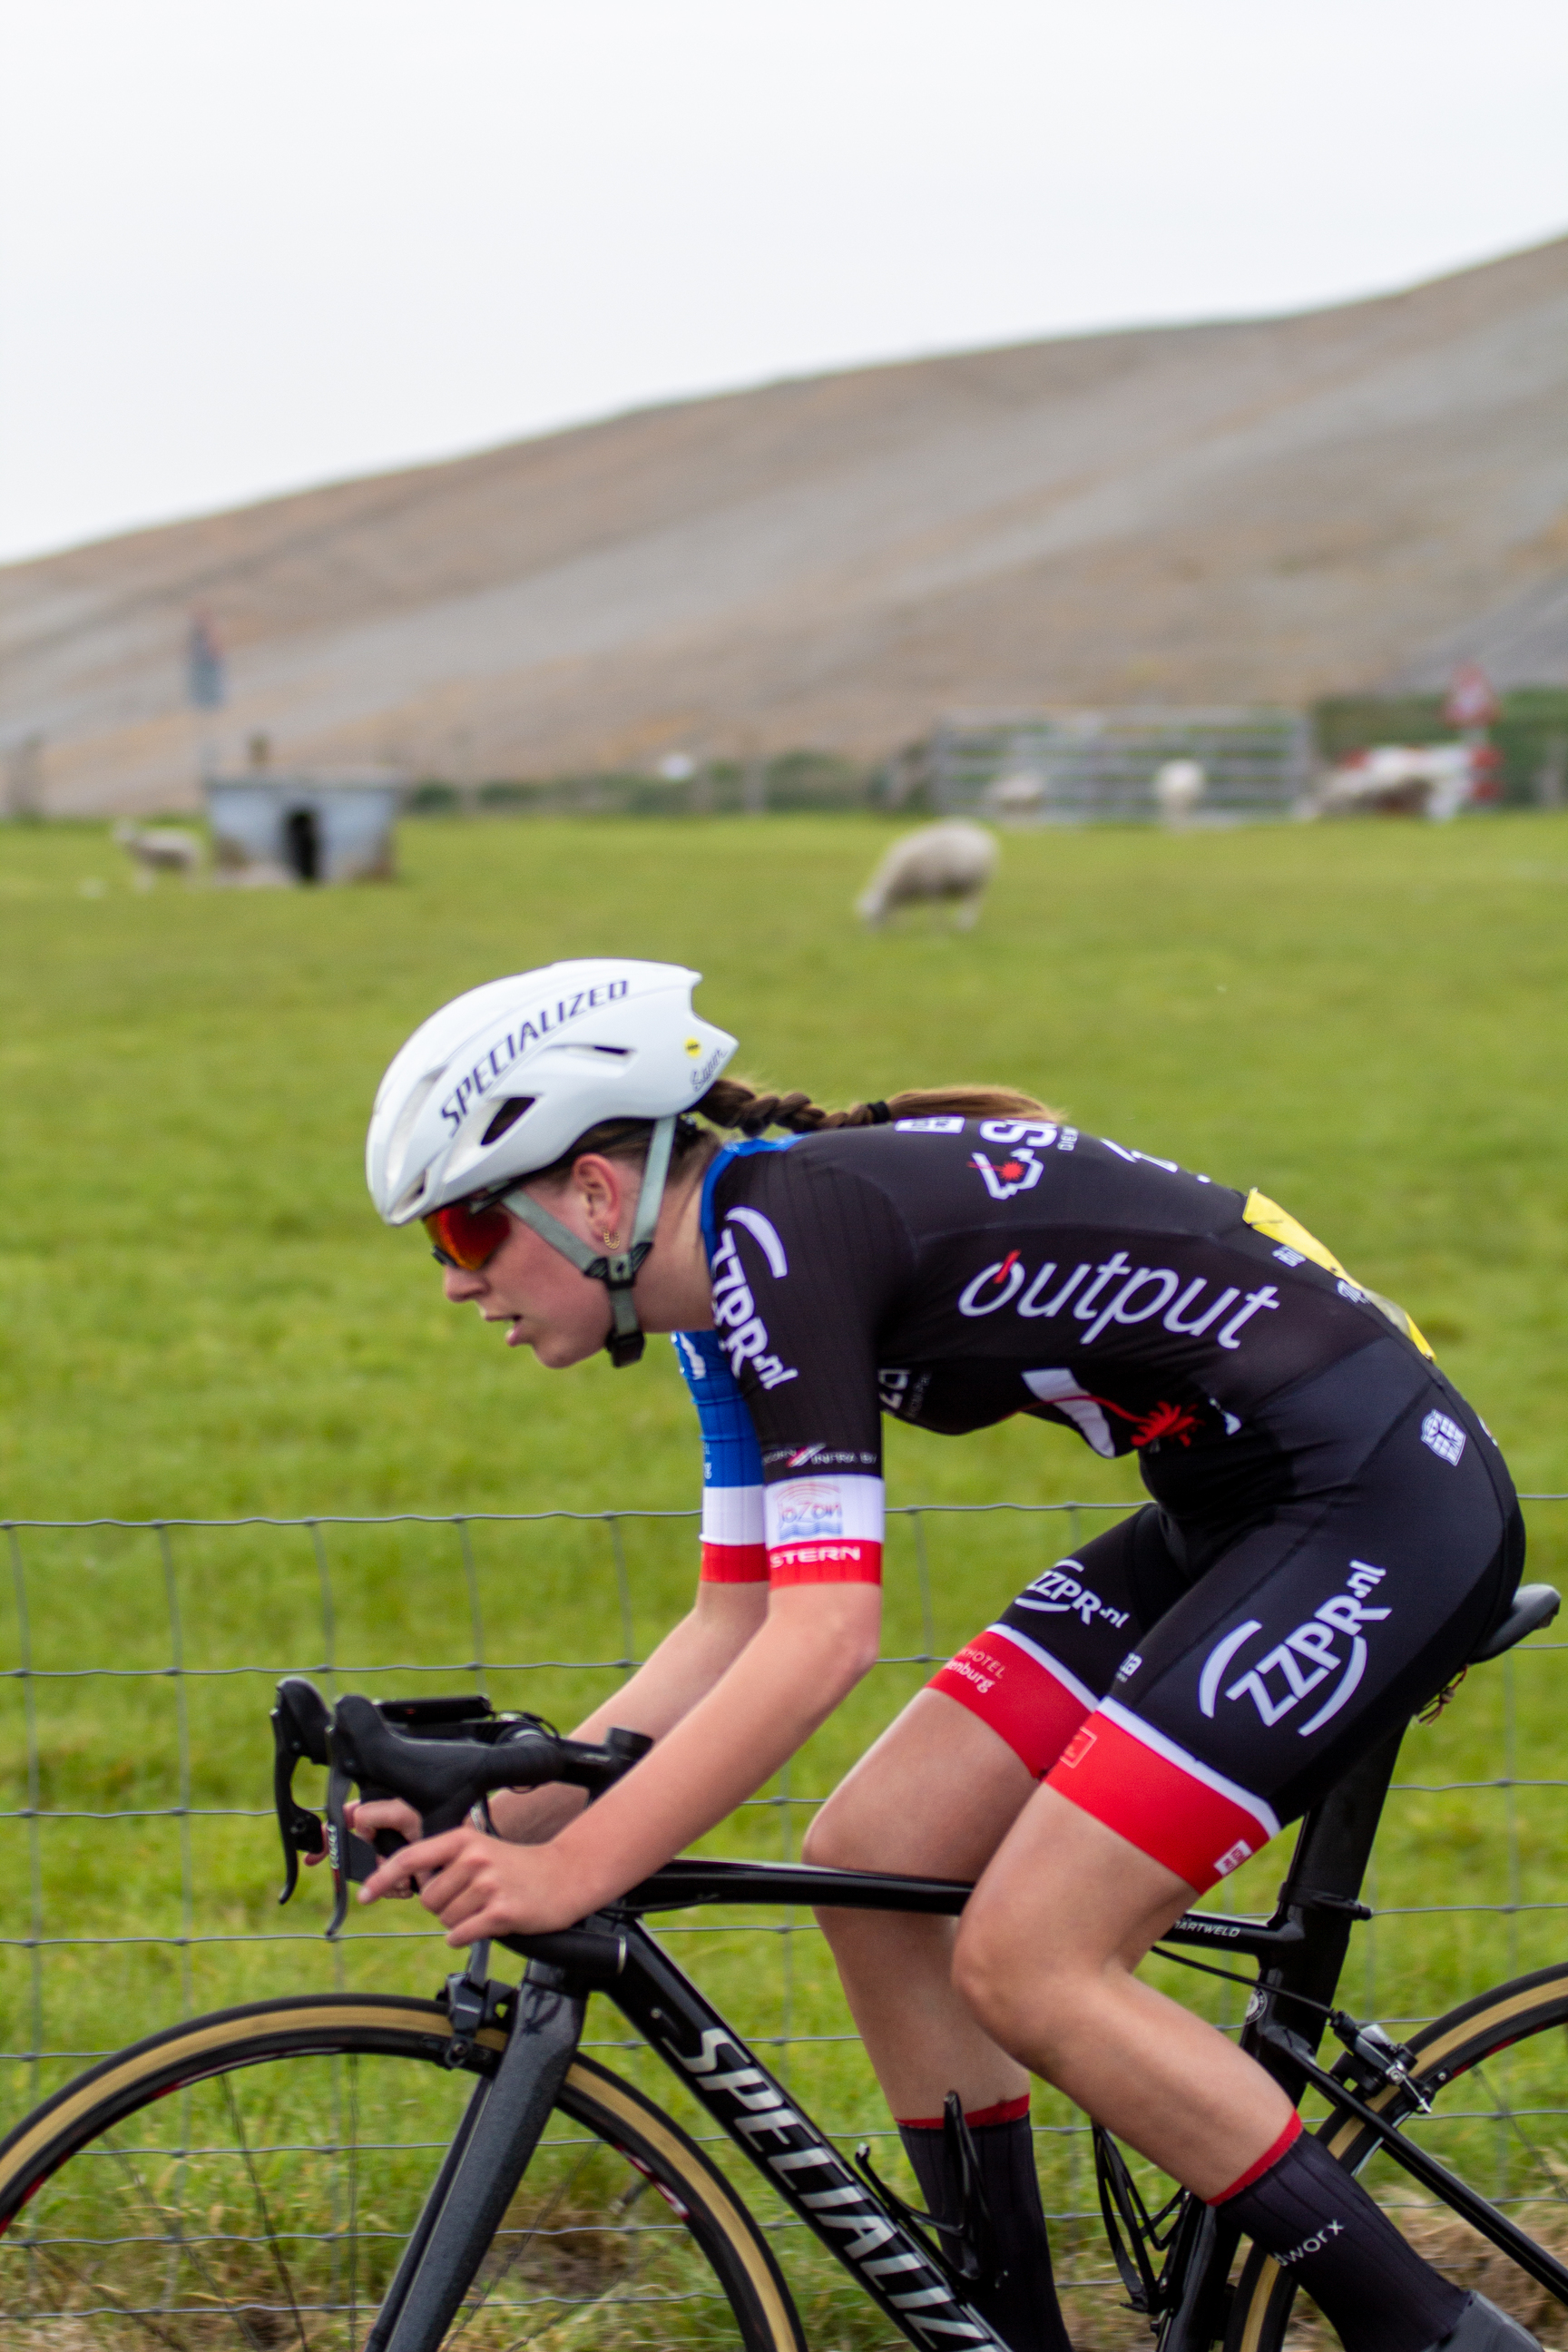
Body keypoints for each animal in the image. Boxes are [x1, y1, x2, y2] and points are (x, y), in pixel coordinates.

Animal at [850, 823, 1001, 931]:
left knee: (972, 905)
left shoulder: (934, 887)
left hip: (975, 884)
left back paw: (964, 925)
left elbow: (935, 910)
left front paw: (937, 927)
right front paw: (903, 925)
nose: (870, 936)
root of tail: (982, 836)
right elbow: (903, 910)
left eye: (874, 916)